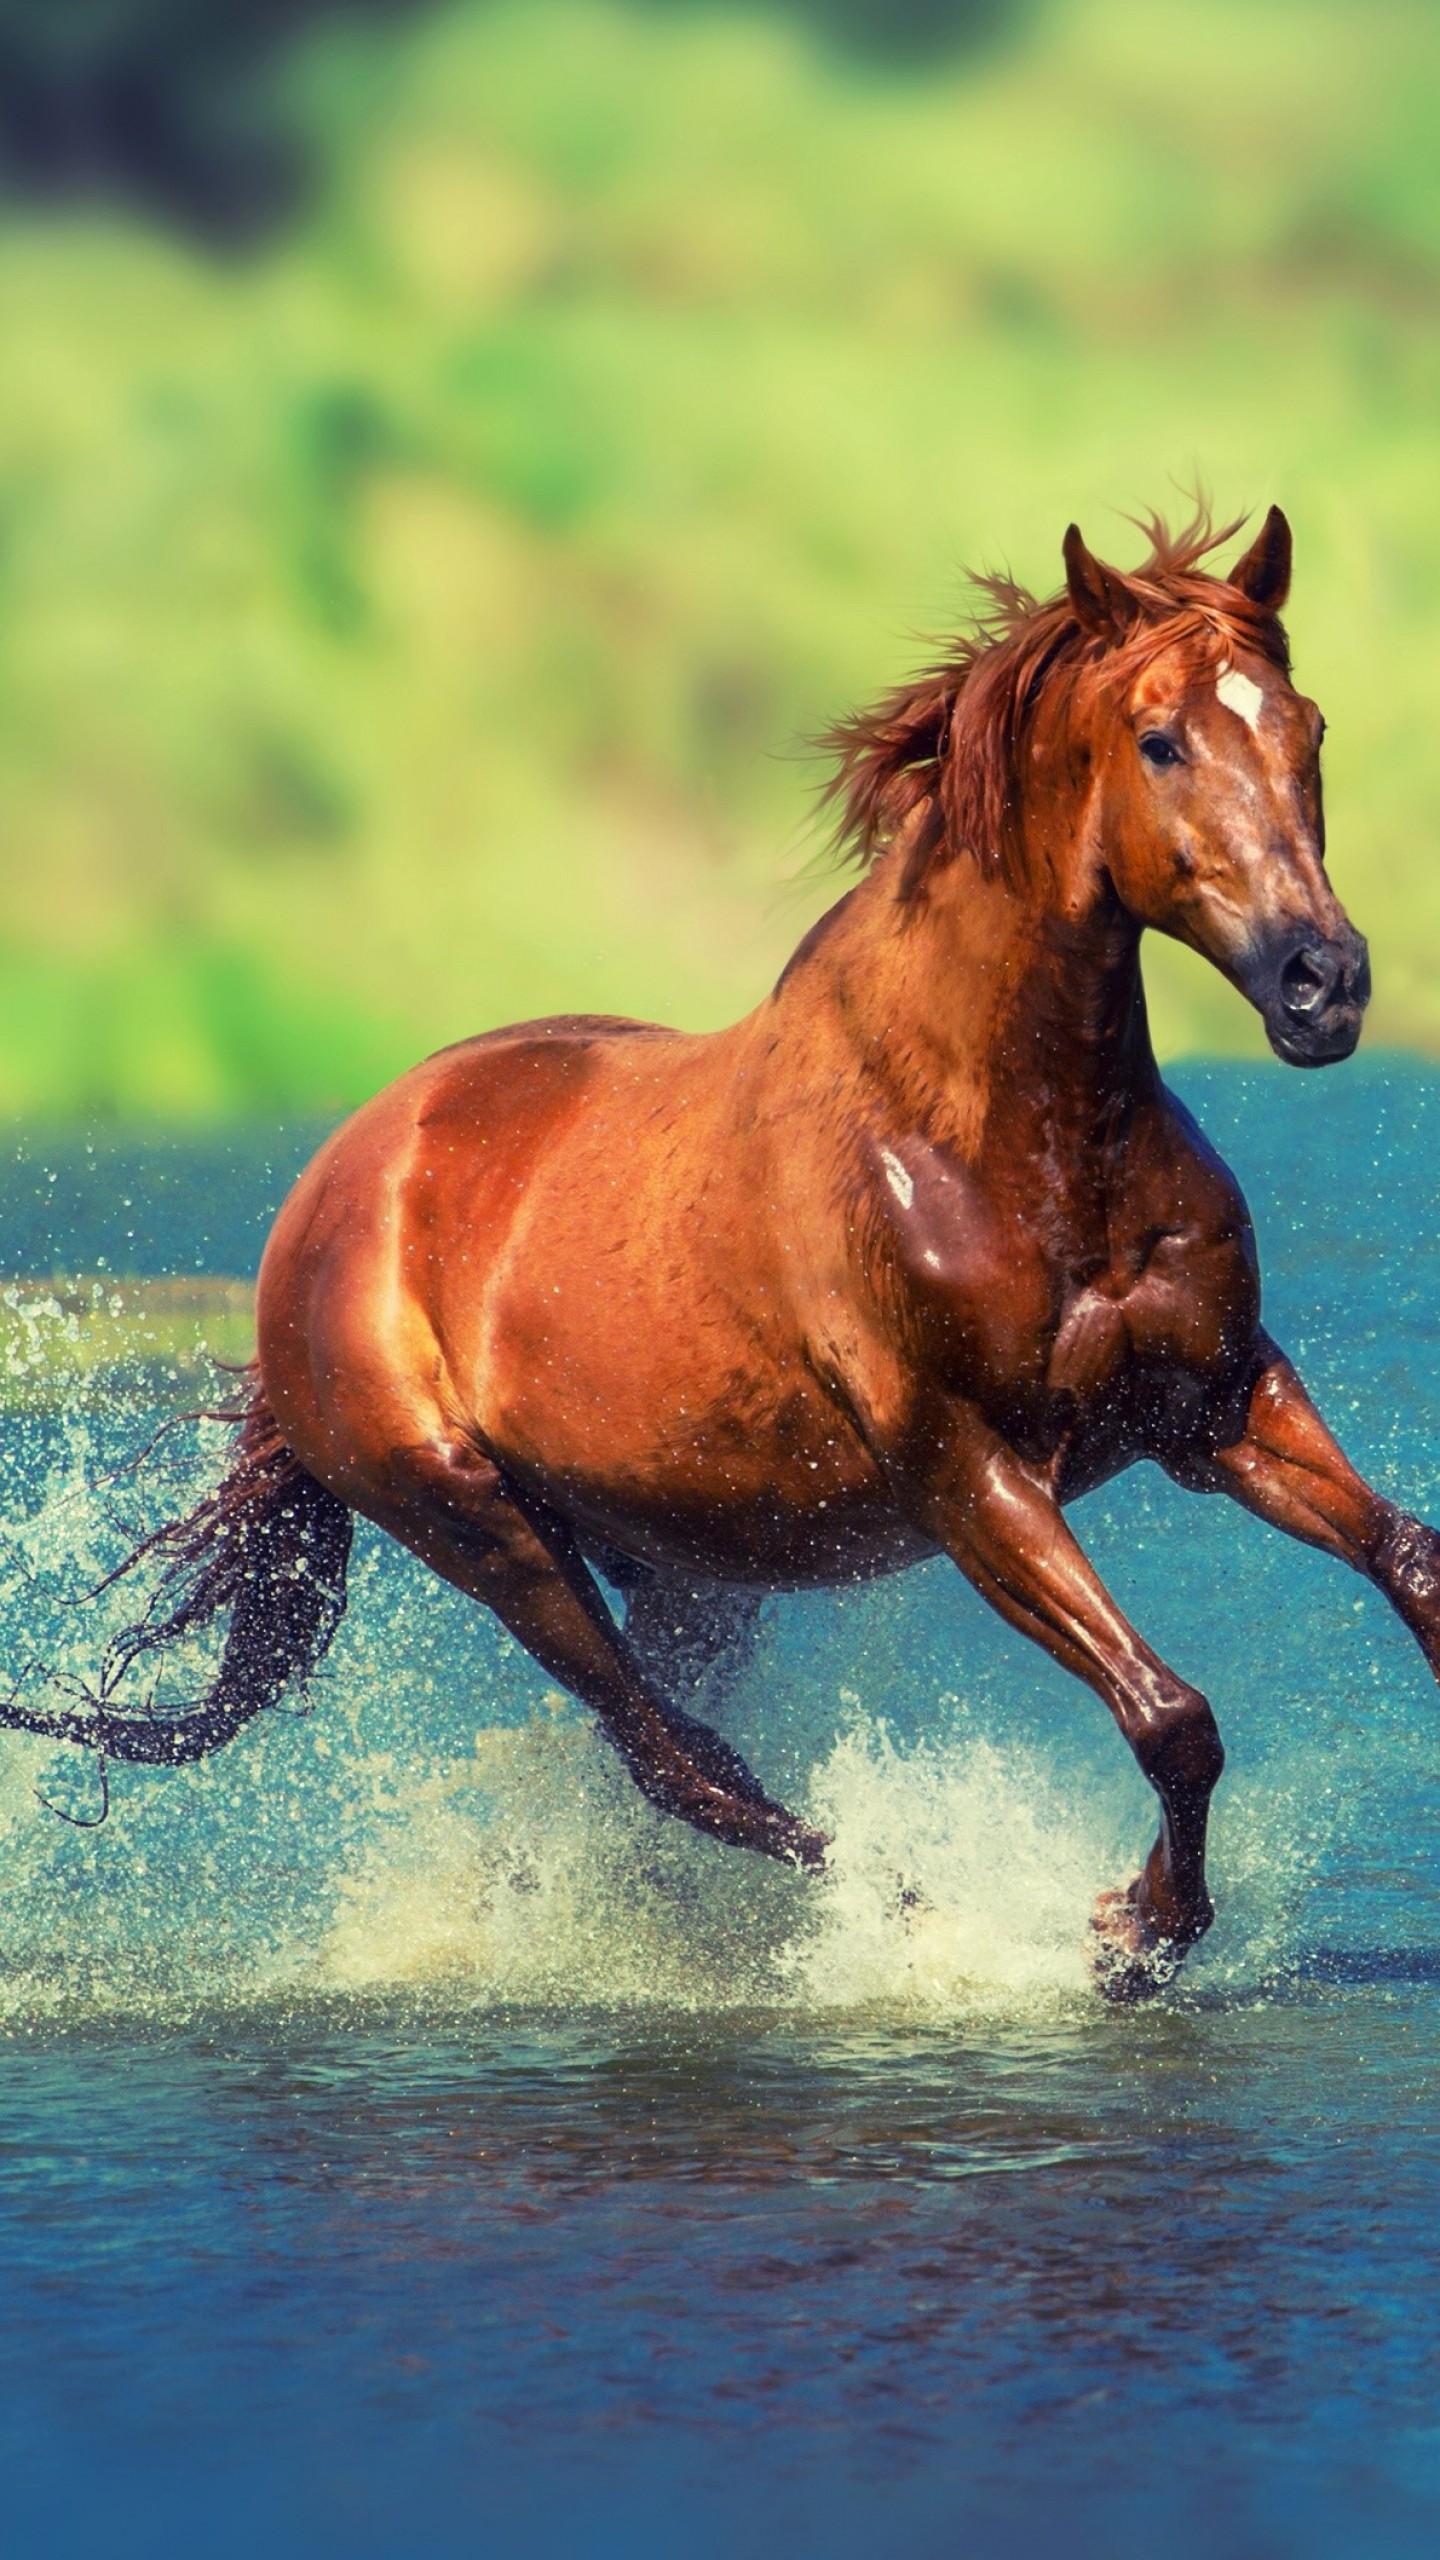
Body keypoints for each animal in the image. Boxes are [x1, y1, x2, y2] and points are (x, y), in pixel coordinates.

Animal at [8, 500, 1435, 1999]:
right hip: (478, 1523)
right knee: (674, 1761)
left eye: (1307, 726)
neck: (1006, 1135)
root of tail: (330, 1193)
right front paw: (1130, 1930)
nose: (1323, 983)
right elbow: (1170, 1713)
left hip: (688, 1564)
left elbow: (1411, 1566)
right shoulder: (967, 1468)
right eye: (1161, 740)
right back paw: (908, 1910)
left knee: (656, 1758)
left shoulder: (1216, 1401)